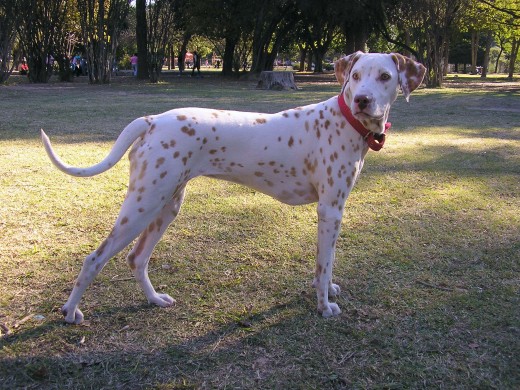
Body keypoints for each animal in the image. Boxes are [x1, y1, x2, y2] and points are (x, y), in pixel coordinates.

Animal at [42, 52, 424, 326]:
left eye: (385, 77)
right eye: (356, 76)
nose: (362, 99)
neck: (345, 120)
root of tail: (151, 120)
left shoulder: (334, 211)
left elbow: (325, 261)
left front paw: (326, 290)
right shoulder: (330, 210)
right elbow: (324, 263)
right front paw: (324, 305)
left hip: (167, 205)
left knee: (136, 258)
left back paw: (154, 299)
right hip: (143, 205)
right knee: (94, 259)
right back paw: (70, 312)